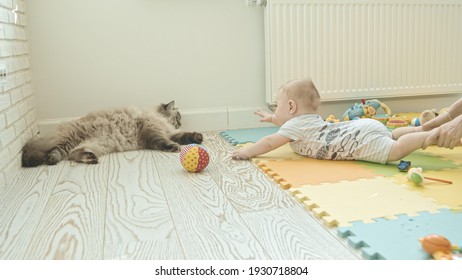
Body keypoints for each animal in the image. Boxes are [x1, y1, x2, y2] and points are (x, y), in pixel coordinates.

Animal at [21, 100, 202, 166]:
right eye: (178, 117)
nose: (180, 122)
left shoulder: (168, 132)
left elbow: (185, 136)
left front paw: (198, 137)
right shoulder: (152, 131)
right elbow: (163, 142)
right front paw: (174, 147)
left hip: (95, 145)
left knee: (73, 154)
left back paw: (90, 159)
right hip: (70, 140)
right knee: (57, 152)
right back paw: (51, 160)